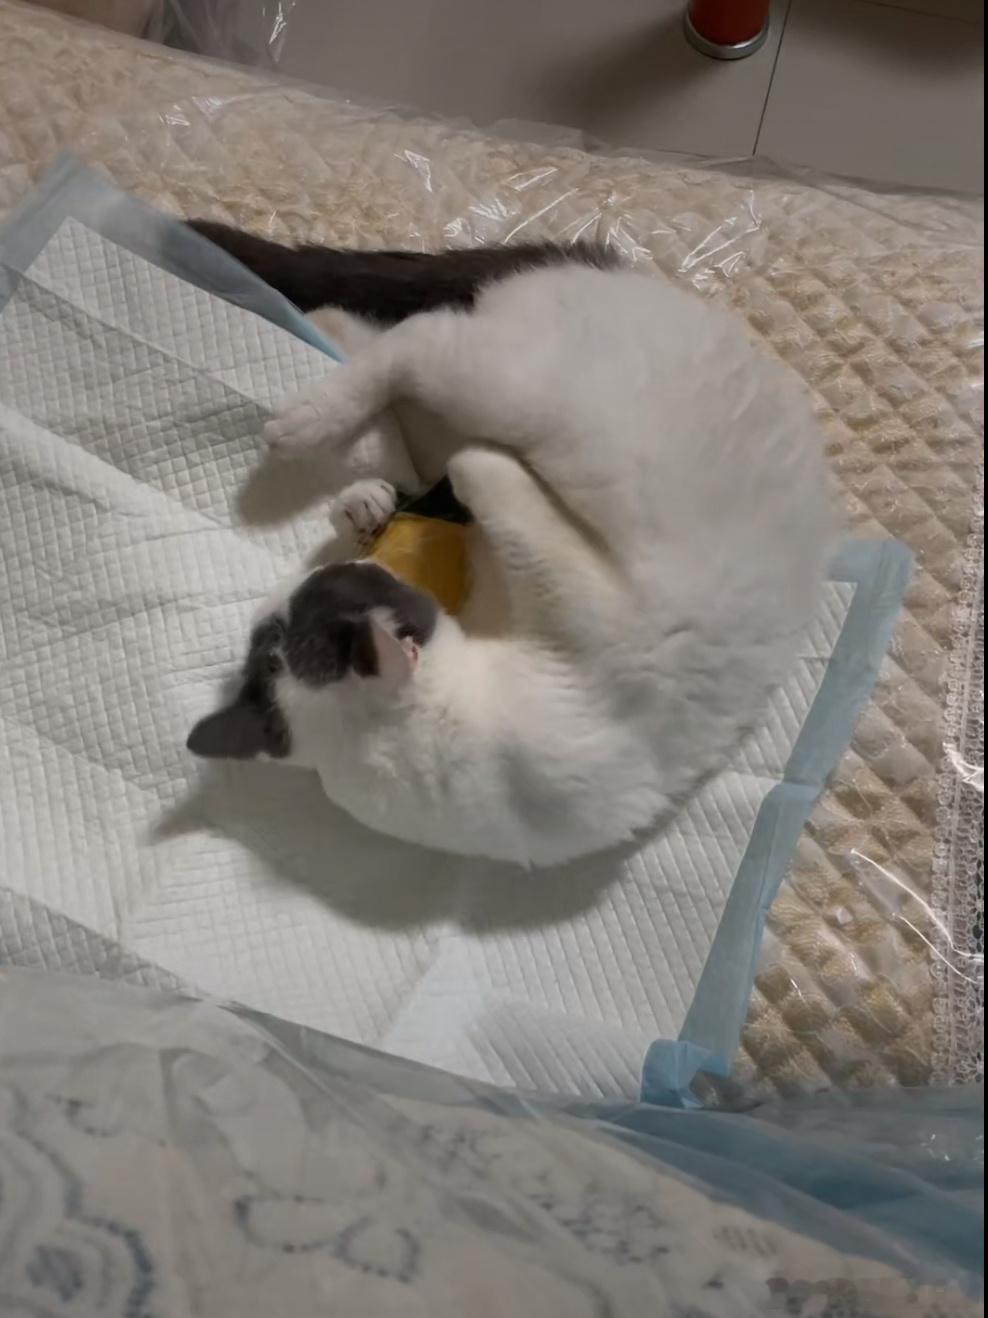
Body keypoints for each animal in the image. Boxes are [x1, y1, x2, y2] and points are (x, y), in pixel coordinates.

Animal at [185, 225, 835, 867]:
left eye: (339, 585)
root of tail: (624, 268)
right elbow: (473, 472)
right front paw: (379, 499)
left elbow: (452, 479)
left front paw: (376, 504)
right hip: (511, 394)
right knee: (414, 340)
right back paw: (306, 416)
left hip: (508, 398)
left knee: (401, 341)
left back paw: (309, 406)